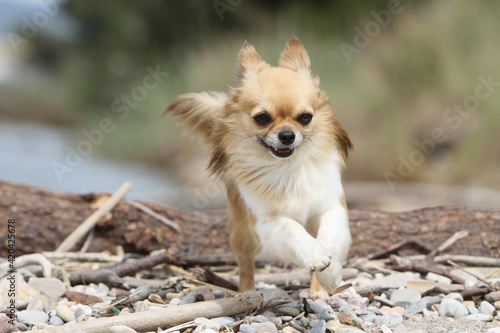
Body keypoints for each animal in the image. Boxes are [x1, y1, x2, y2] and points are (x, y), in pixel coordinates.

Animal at [165, 39, 352, 298]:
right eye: (262, 118)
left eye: (305, 118)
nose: (287, 135)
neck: (288, 168)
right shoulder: (266, 225)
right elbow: (292, 229)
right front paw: (315, 255)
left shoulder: (332, 207)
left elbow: (331, 238)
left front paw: (330, 273)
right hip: (240, 234)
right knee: (246, 265)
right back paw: (245, 292)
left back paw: (317, 291)